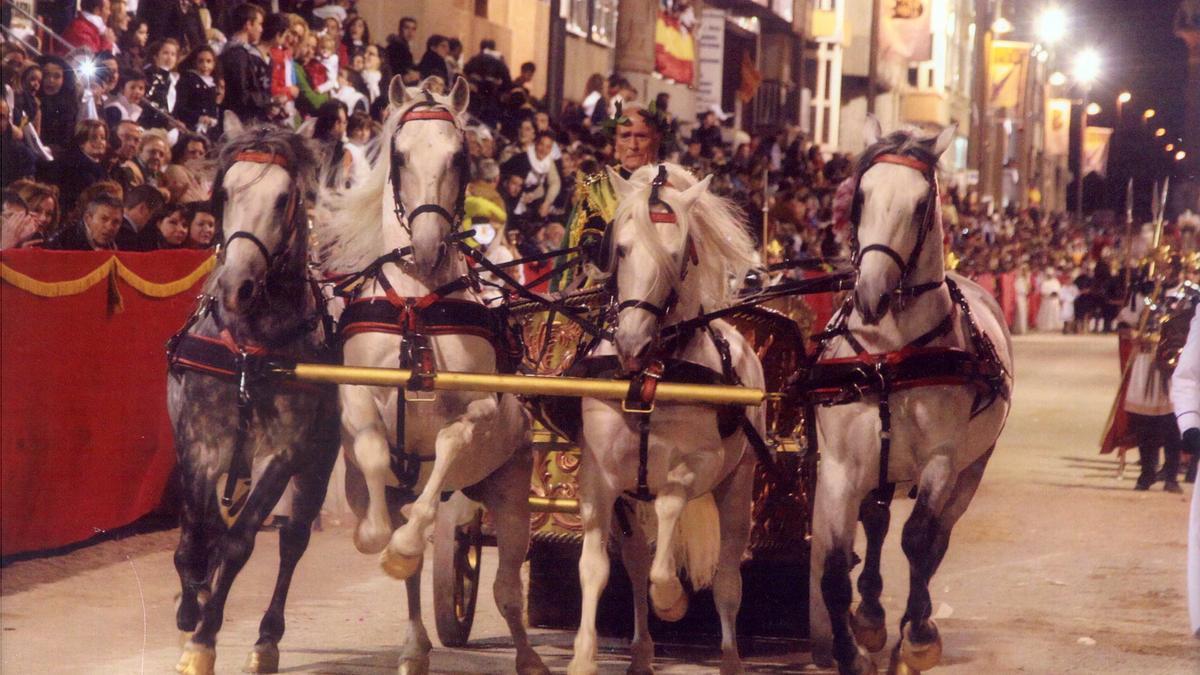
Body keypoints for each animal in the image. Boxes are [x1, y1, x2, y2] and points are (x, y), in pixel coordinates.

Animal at [316, 76, 547, 672]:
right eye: (398, 155)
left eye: (459, 156)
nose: (424, 244)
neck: (416, 305)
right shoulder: (356, 399)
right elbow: (374, 454)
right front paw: (380, 539)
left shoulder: (480, 411)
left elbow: (446, 444)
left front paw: (401, 542)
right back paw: (414, 647)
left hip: (512, 489)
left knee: (507, 588)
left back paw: (528, 656)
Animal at [568, 163, 758, 672]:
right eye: (620, 247)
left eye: (677, 256)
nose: (631, 342)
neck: (651, 375)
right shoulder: (599, 475)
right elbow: (595, 567)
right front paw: (583, 657)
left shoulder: (699, 465)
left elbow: (671, 515)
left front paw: (670, 598)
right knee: (636, 560)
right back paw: (640, 653)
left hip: (737, 487)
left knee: (728, 579)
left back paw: (730, 658)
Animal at [806, 118, 1012, 667]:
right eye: (861, 196)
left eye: (921, 205)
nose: (872, 293)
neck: (888, 355)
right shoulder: (839, 467)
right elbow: (834, 569)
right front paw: (851, 646)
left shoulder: (942, 459)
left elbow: (919, 541)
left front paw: (917, 637)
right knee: (876, 523)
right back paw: (872, 614)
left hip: (971, 468)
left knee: (937, 537)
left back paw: (911, 623)